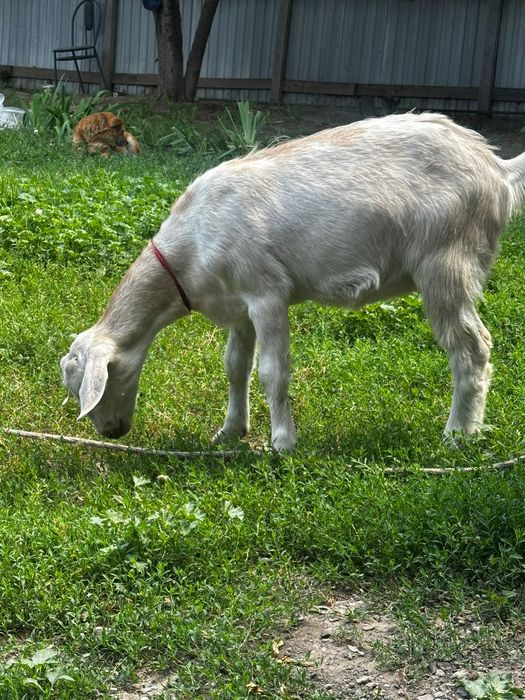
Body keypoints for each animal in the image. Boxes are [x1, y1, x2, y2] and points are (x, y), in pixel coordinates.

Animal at [61, 112, 525, 450]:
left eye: (99, 383)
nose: (110, 432)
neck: (189, 247)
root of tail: (497, 168)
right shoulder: (238, 307)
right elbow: (235, 367)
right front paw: (230, 431)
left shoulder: (267, 293)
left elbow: (272, 371)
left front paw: (282, 442)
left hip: (447, 262)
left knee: (471, 348)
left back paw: (459, 434)